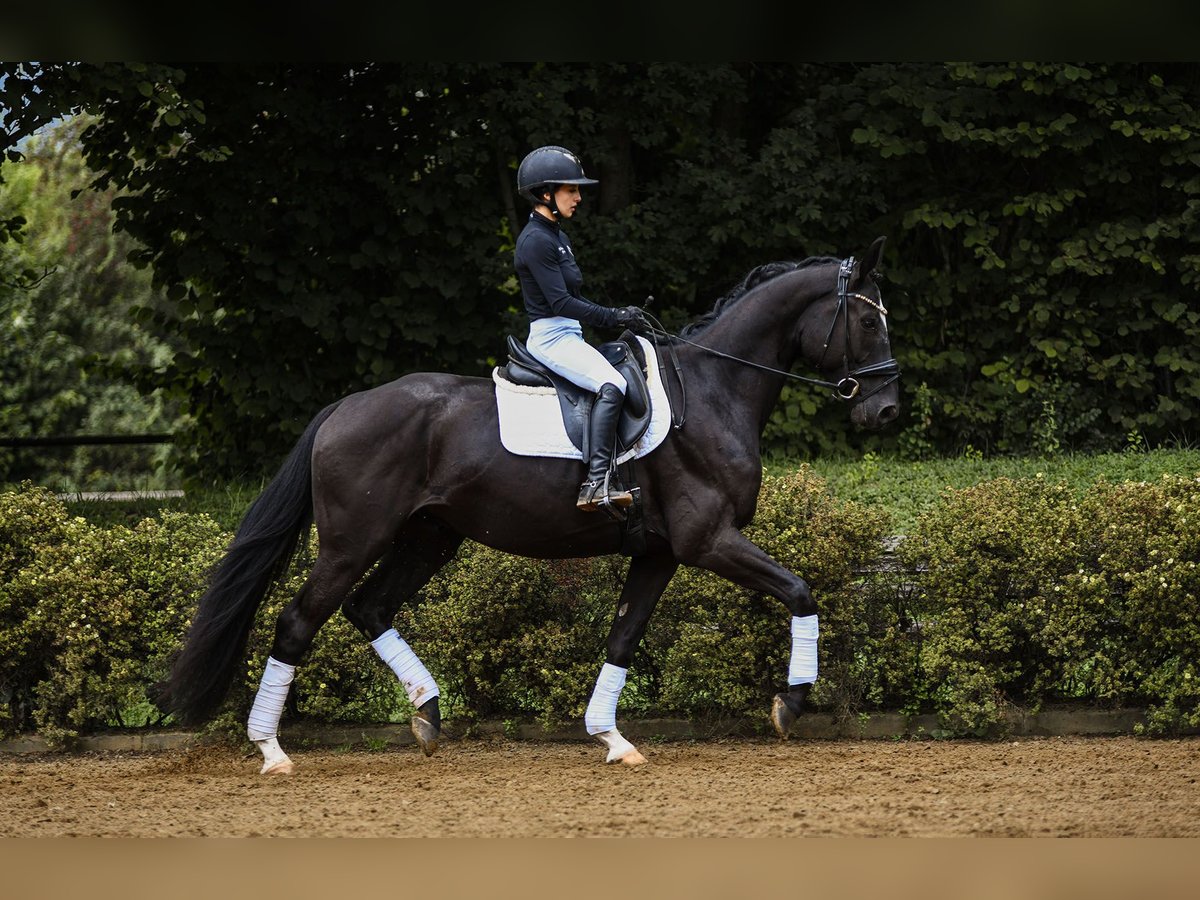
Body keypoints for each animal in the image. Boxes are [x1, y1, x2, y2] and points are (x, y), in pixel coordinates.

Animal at [159, 236, 902, 772]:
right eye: (868, 319)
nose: (887, 411)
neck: (715, 389)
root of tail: (344, 406)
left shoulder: (660, 552)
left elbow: (623, 637)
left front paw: (611, 738)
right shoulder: (708, 539)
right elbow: (800, 590)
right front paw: (791, 704)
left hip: (429, 537)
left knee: (369, 608)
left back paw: (428, 716)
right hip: (352, 541)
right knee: (297, 622)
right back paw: (272, 751)